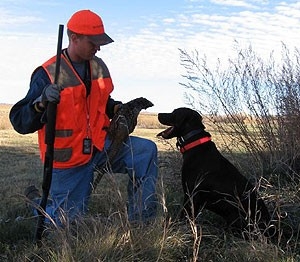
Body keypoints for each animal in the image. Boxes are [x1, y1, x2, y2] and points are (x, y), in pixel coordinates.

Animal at [157, 107, 274, 236]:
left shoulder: (191, 195)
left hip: (235, 215)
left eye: (174, 113)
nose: (158, 113)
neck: (194, 143)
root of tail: (272, 228)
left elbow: (184, 217)